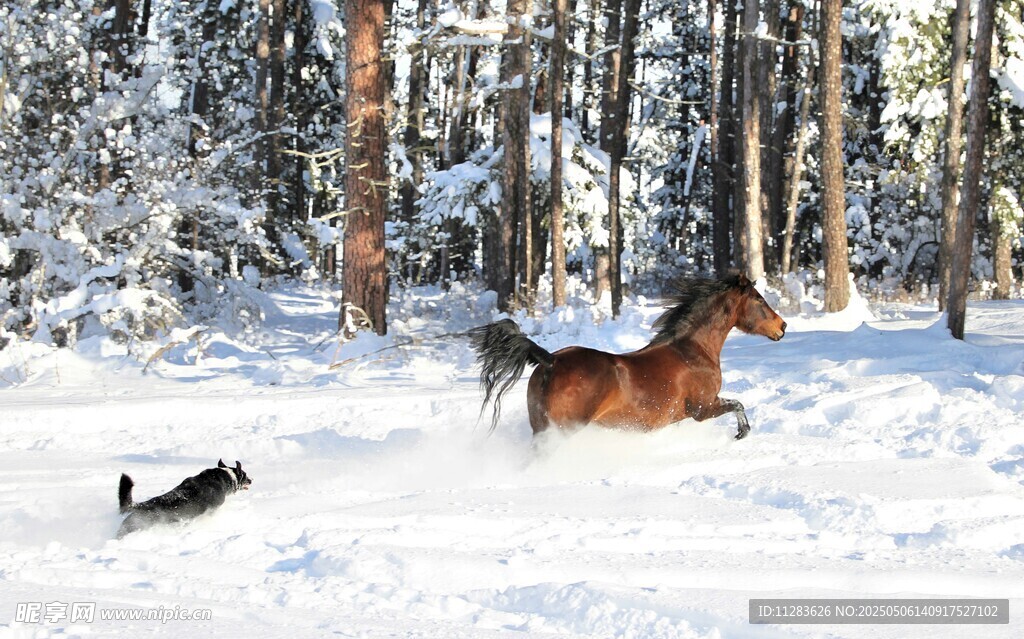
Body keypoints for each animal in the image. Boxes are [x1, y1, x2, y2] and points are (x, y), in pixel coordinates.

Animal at [468, 274, 786, 440]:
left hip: (540, 427)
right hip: (563, 430)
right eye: (759, 300)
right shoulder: (702, 408)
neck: (693, 351)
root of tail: (551, 361)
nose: (782, 326)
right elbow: (738, 404)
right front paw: (742, 432)